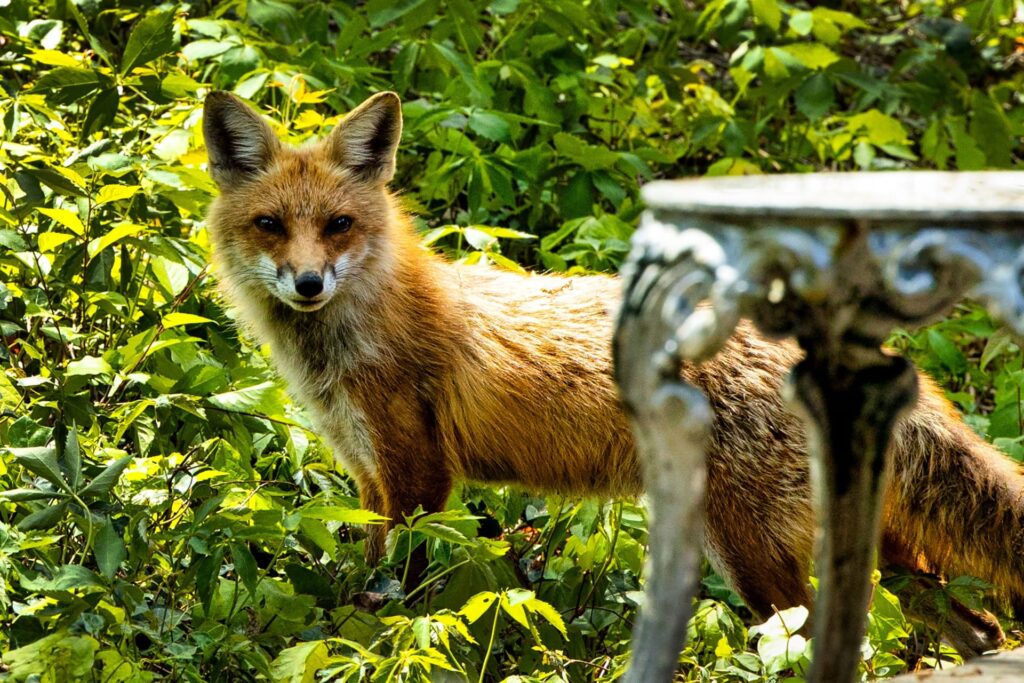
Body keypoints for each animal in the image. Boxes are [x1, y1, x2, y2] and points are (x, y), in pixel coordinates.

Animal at [202, 90, 1024, 658]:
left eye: (338, 225)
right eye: (270, 225)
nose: (308, 282)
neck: (359, 333)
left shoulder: (417, 480)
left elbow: (391, 599)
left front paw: (368, 641)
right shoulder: (371, 480)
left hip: (749, 555)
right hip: (875, 547)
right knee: (979, 626)